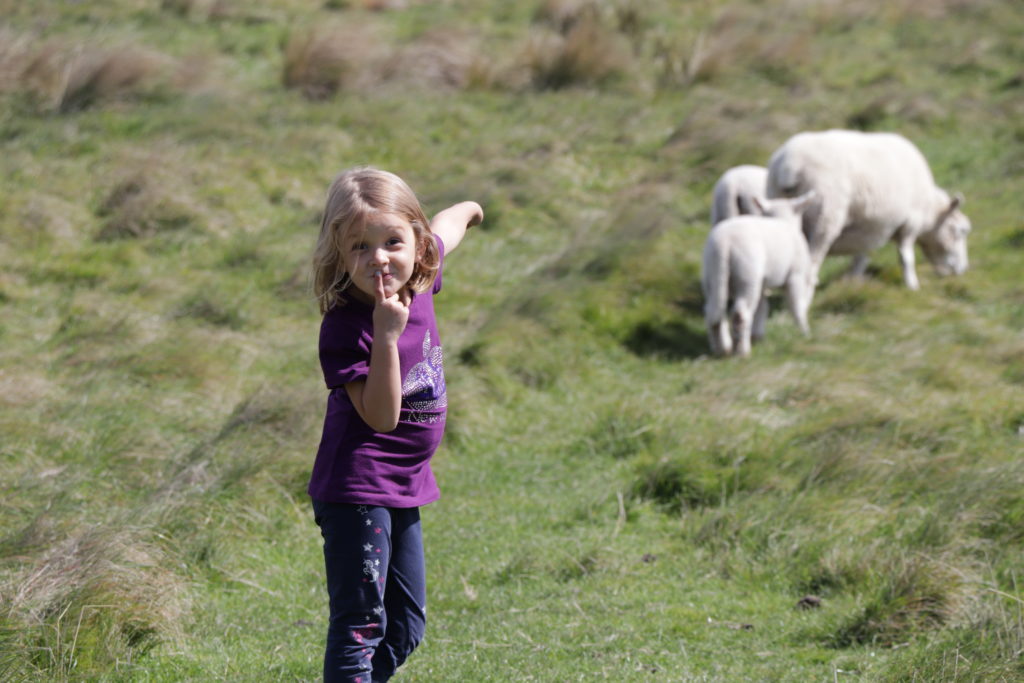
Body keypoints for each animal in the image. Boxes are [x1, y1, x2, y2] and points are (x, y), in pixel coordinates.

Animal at [704, 189, 815, 356]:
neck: (783, 220)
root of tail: (724, 244)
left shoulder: (762, 282)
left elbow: (763, 307)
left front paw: (758, 336)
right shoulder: (796, 275)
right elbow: (797, 306)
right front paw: (804, 332)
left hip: (713, 275)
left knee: (714, 312)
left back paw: (722, 349)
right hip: (746, 272)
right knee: (740, 313)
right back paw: (742, 351)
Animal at [765, 129, 970, 290]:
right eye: (961, 231)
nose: (962, 269)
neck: (928, 210)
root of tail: (789, 166)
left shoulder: (868, 228)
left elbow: (861, 257)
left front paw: (854, 281)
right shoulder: (910, 224)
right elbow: (906, 257)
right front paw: (912, 285)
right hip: (824, 216)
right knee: (813, 263)